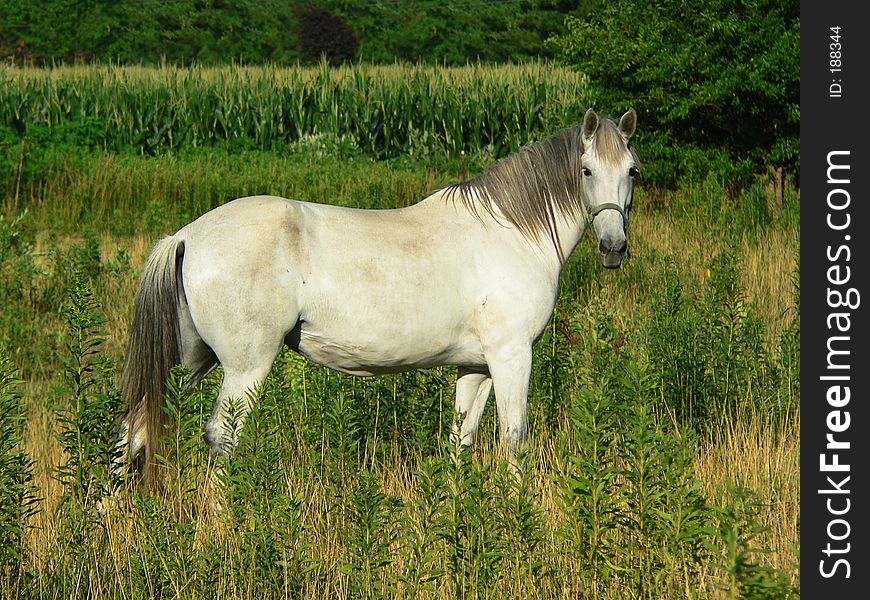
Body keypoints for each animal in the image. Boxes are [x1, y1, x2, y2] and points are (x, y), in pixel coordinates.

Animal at [119, 109, 640, 482]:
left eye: (632, 171)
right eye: (586, 170)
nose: (614, 248)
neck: (511, 231)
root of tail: (186, 236)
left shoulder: (476, 366)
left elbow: (462, 439)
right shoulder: (512, 357)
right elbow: (513, 437)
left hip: (186, 358)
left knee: (134, 426)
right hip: (245, 367)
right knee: (220, 437)